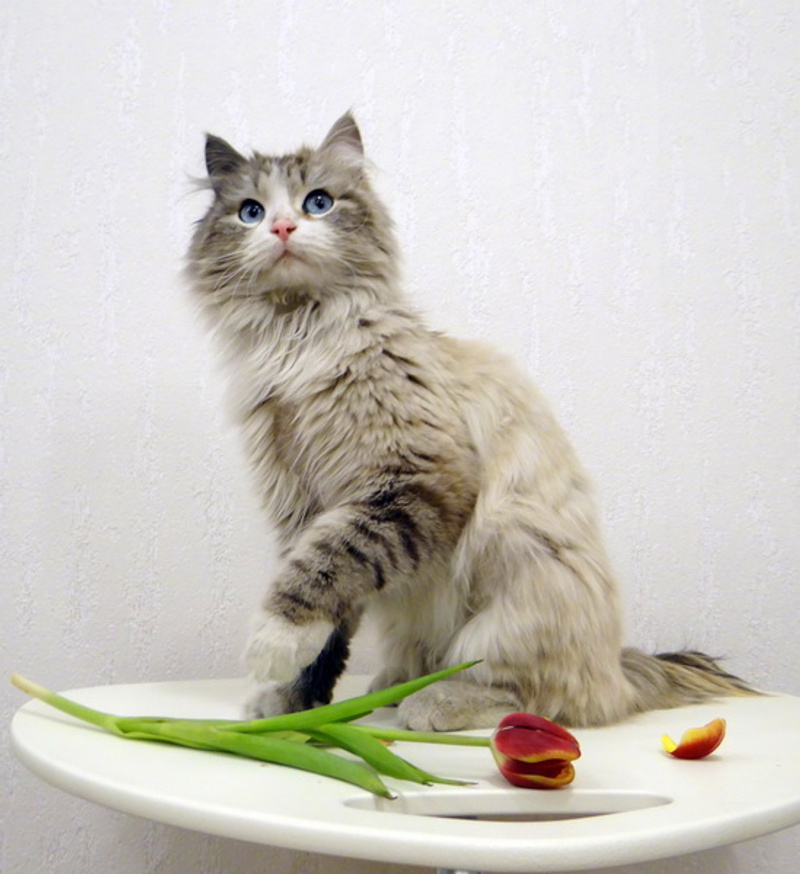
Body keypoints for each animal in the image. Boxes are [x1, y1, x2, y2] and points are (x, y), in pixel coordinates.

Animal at [186, 113, 754, 730]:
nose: (284, 227)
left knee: (540, 699)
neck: (297, 340)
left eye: (319, 202)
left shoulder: (413, 483)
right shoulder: (302, 506)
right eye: (250, 212)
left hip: (515, 573)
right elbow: (326, 611)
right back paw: (391, 687)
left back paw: (431, 702)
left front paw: (273, 644)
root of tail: (620, 669)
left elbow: (326, 565)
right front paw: (292, 708)